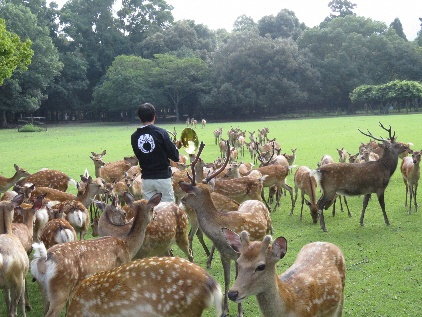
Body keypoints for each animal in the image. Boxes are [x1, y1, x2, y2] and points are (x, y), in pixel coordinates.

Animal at [28, 190, 160, 316]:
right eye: (152, 209)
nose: (155, 216)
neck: (127, 245)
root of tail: (44, 258)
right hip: (61, 288)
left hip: (44, 287)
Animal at [177, 141, 270, 316]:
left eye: (191, 193)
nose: (182, 199)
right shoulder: (224, 255)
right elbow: (227, 280)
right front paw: (225, 309)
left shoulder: (238, 255)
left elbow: (237, 278)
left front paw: (240, 311)